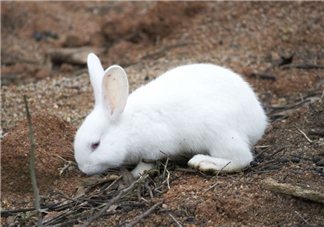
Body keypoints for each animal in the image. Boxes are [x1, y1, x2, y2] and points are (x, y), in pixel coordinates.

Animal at [74, 52, 268, 177]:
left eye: (95, 145)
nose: (83, 169)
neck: (128, 127)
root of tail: (259, 121)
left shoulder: (153, 148)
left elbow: (147, 162)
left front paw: (136, 173)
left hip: (220, 134)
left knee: (242, 159)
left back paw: (204, 163)